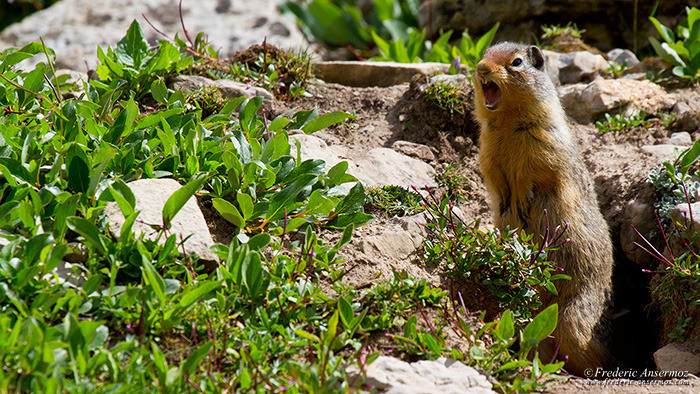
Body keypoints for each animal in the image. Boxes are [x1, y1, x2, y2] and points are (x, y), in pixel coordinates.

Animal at [470, 43, 612, 376]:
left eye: (516, 62)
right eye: (485, 53)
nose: (481, 68)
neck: (507, 123)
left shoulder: (543, 144)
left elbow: (533, 173)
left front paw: (521, 201)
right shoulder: (487, 149)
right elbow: (493, 174)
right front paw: (506, 203)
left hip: (573, 317)